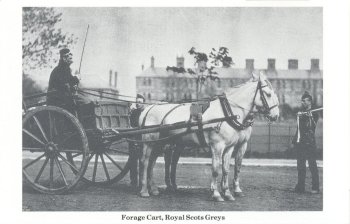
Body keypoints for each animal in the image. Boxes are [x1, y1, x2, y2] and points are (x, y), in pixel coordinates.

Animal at [138, 72, 278, 201]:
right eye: (268, 94)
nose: (276, 115)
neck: (227, 113)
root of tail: (148, 108)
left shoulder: (231, 147)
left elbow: (228, 169)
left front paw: (228, 192)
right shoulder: (217, 146)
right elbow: (216, 169)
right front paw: (216, 194)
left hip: (160, 143)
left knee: (152, 162)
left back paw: (154, 189)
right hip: (150, 142)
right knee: (145, 162)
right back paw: (144, 190)